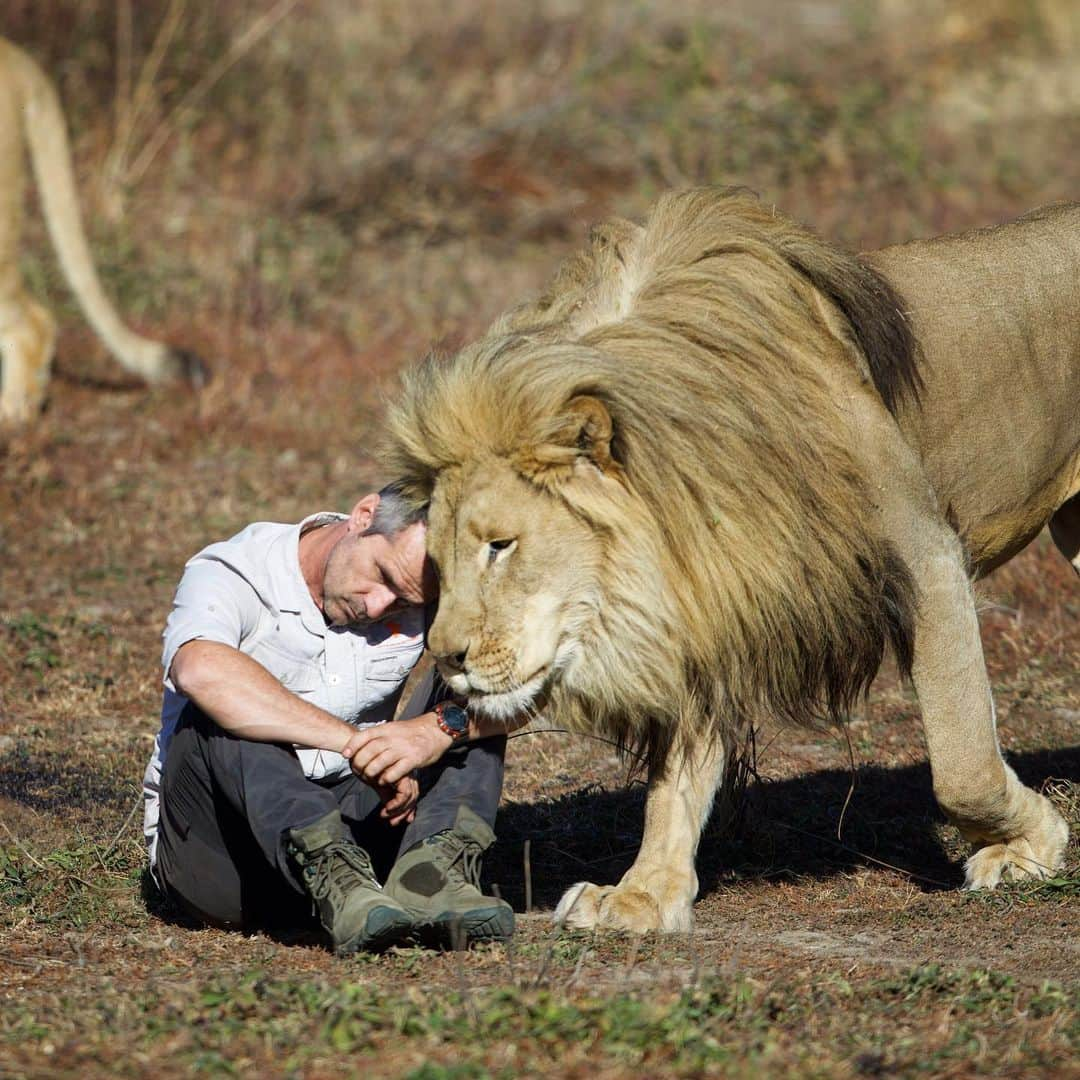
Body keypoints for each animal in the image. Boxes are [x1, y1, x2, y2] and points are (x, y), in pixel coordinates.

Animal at [384, 185, 1075, 928]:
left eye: (500, 545)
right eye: (437, 562)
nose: (446, 658)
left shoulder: (927, 559)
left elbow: (961, 761)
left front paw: (1027, 847)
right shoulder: (710, 590)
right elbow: (677, 774)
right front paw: (643, 894)